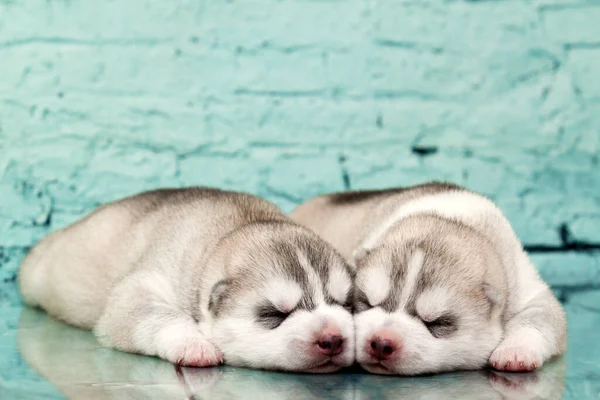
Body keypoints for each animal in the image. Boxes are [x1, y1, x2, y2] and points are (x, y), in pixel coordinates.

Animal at [18, 188, 356, 372]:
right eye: (275, 314)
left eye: (343, 303)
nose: (332, 338)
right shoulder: (141, 287)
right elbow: (148, 312)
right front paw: (193, 343)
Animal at [292, 183, 564, 376]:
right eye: (368, 303)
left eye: (437, 322)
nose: (380, 343)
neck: (452, 220)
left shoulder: (526, 287)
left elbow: (541, 317)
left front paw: (515, 352)